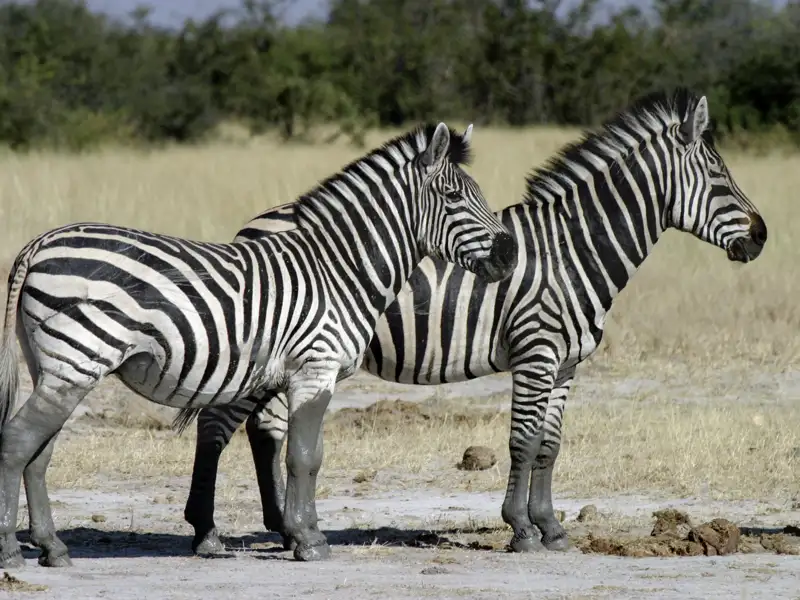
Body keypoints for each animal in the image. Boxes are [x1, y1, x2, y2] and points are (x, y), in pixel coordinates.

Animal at [0, 122, 519, 568]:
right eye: (453, 196)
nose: (511, 254)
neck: (340, 269)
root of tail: (39, 242)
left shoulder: (302, 375)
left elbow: (305, 454)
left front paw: (302, 531)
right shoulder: (316, 369)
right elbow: (304, 456)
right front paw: (309, 541)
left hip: (58, 366)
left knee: (39, 449)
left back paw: (53, 548)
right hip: (78, 358)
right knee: (17, 440)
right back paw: (11, 551)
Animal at [177, 88, 767, 555]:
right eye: (719, 176)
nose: (761, 237)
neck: (571, 251)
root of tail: (253, 226)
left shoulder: (566, 365)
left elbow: (550, 445)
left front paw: (552, 528)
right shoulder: (535, 353)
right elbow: (523, 442)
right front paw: (522, 530)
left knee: (264, 430)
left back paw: (281, 527)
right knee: (218, 425)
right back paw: (208, 532)